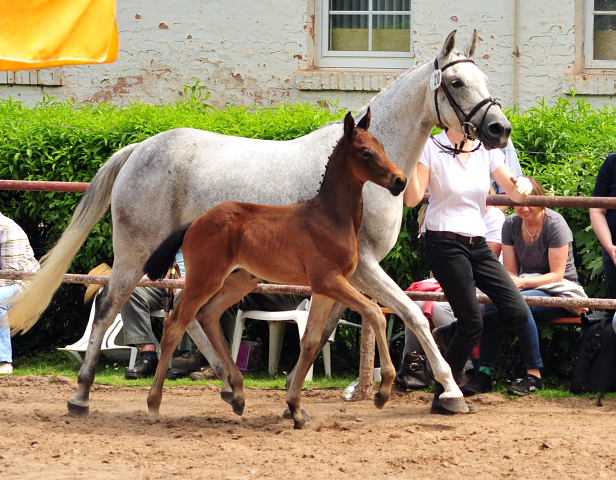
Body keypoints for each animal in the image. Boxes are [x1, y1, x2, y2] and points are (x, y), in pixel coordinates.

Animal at [142, 109, 406, 428]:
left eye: (382, 147)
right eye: (365, 152)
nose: (400, 181)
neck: (331, 217)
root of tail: (193, 223)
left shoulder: (324, 290)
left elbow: (310, 341)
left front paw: (295, 408)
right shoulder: (329, 281)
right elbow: (376, 313)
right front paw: (383, 391)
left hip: (240, 282)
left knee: (209, 315)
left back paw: (238, 394)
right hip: (205, 279)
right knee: (175, 324)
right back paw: (154, 406)